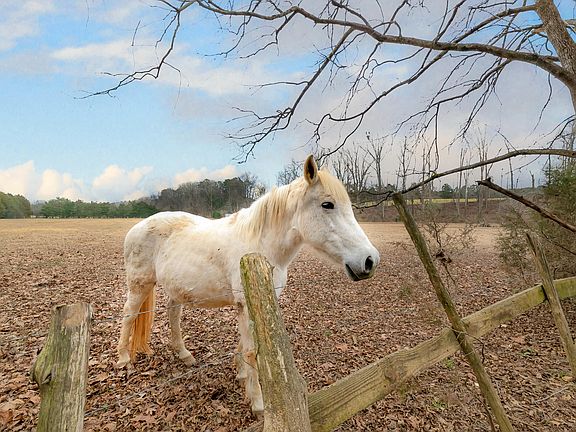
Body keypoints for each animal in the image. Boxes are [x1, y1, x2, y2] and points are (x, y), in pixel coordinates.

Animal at [116, 155, 380, 414]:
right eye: (327, 205)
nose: (370, 261)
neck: (262, 246)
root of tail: (136, 227)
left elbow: (245, 346)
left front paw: (242, 376)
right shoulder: (245, 304)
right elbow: (252, 351)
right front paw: (258, 403)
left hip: (176, 289)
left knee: (172, 313)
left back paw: (184, 355)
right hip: (139, 284)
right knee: (129, 315)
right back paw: (124, 360)